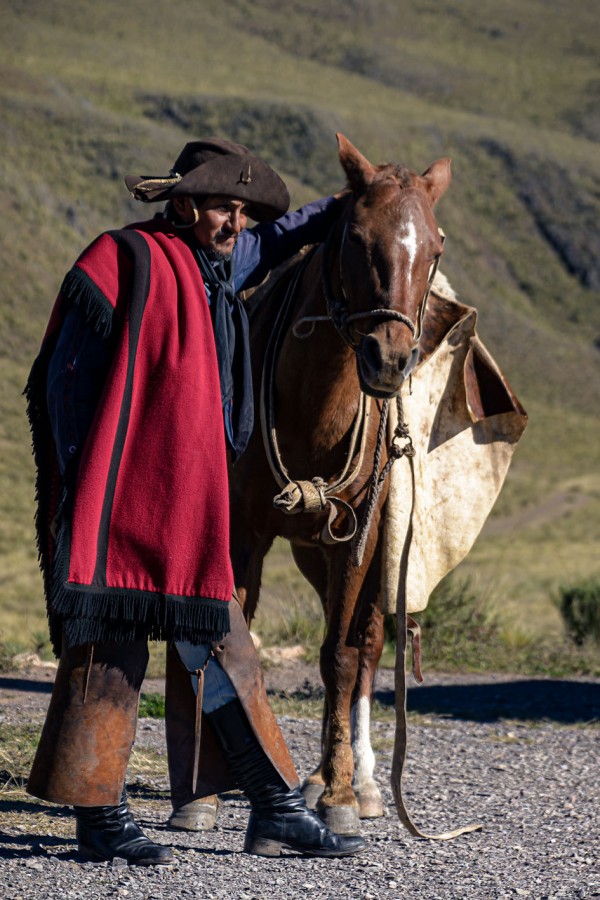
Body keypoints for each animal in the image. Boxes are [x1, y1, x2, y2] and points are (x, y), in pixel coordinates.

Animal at [230, 130, 450, 832]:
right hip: (309, 550)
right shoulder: (245, 531)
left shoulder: (357, 536)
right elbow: (236, 639)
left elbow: (341, 656)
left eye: (435, 247)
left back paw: (363, 779)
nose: (389, 359)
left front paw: (340, 797)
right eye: (354, 235)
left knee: (367, 644)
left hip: (373, 547)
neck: (313, 404)